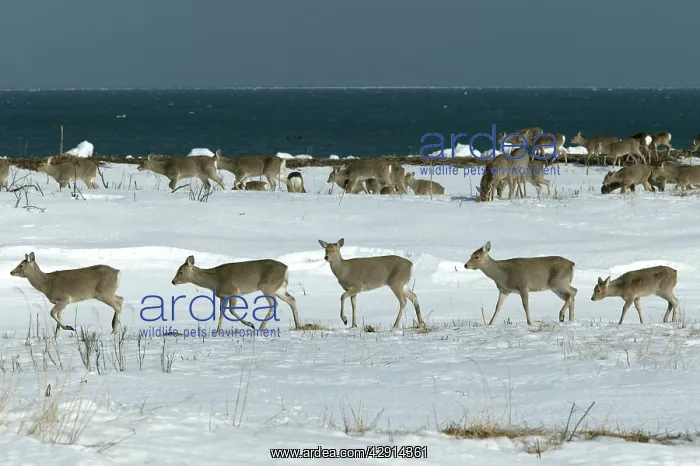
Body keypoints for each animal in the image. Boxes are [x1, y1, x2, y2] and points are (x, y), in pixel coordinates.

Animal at [171, 255, 300, 332]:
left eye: (180, 272)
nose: (173, 281)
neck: (214, 280)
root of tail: (286, 269)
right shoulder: (222, 296)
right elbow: (222, 312)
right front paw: (218, 330)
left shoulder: (233, 291)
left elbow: (231, 310)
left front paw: (250, 324)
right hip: (279, 289)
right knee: (292, 299)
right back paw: (298, 326)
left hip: (267, 286)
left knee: (274, 304)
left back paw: (260, 328)